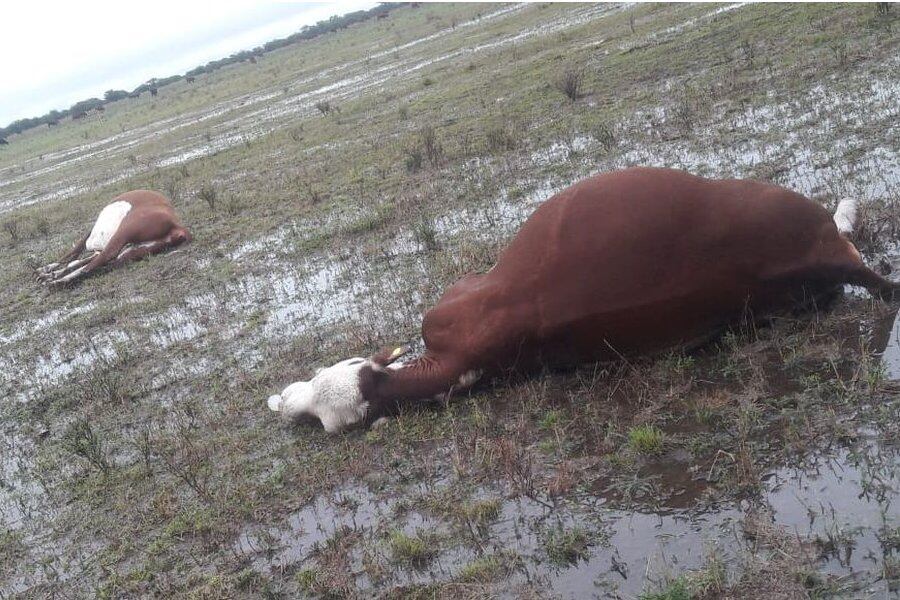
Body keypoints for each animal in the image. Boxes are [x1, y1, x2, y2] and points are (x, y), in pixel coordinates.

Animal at [37, 191, 192, 288]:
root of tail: (177, 225)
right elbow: (77, 260)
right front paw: (48, 272)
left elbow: (74, 254)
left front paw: (48, 271)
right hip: (135, 250)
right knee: (103, 264)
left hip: (123, 233)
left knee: (103, 257)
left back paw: (57, 282)